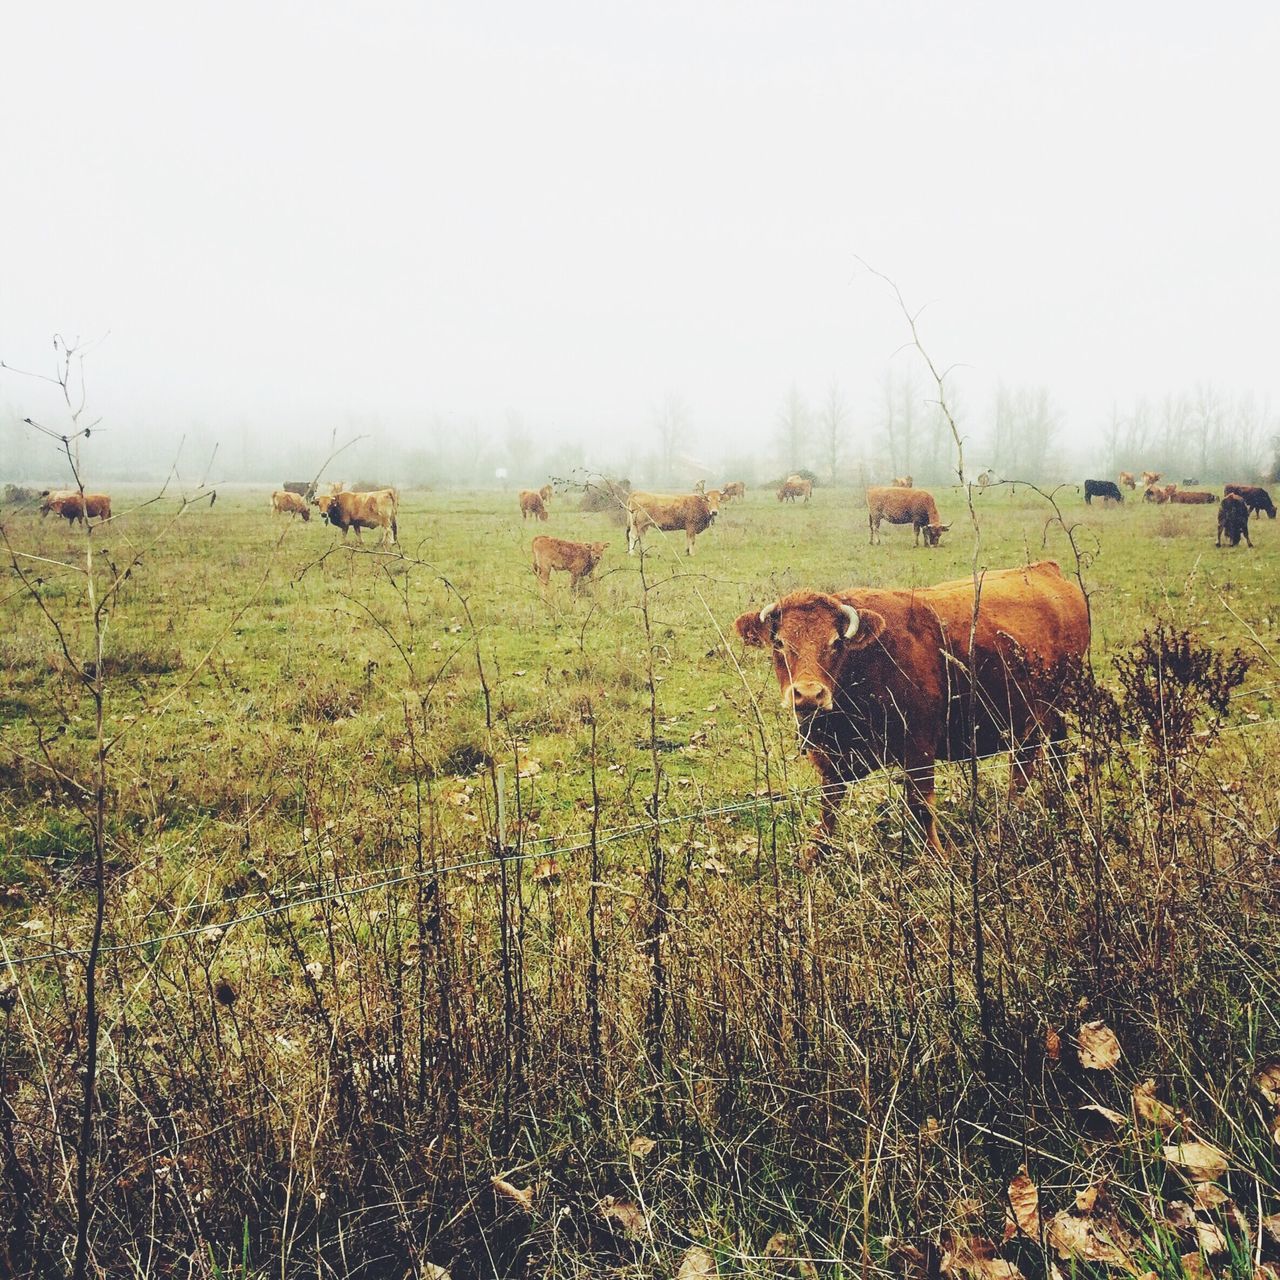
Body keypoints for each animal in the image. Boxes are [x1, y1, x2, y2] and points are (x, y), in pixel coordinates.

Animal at [737, 565, 1085, 855]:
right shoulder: (832, 760)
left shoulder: (919, 748)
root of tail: (1045, 570)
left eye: (837, 643)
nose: (809, 694)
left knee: (1022, 770)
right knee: (1057, 753)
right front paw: (815, 855)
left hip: (1037, 717)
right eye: (779, 643)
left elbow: (920, 806)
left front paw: (935, 858)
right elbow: (829, 808)